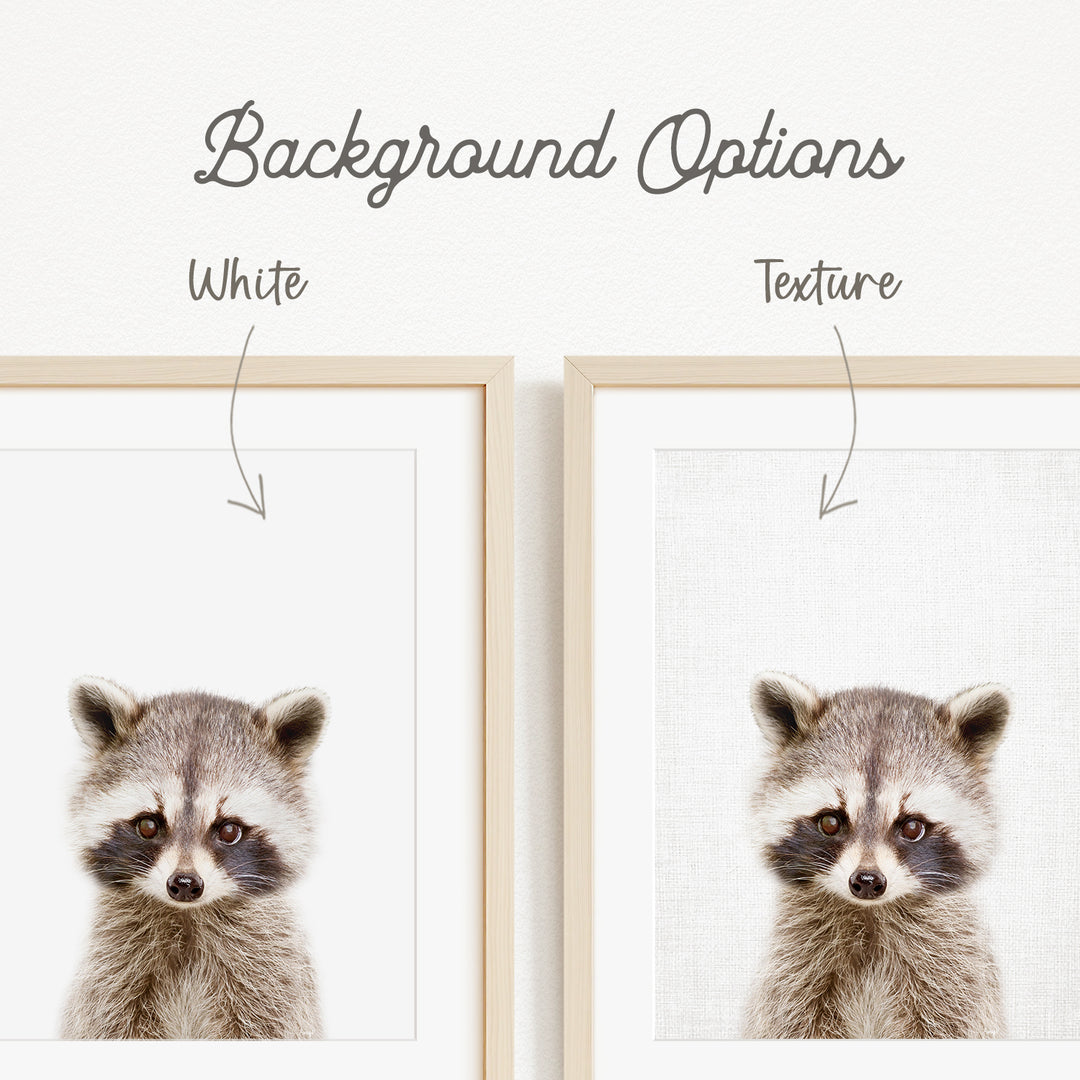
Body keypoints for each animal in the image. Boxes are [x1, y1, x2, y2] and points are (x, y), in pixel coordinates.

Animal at [62, 676, 328, 1039]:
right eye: (148, 825)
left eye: (228, 830)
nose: (185, 883)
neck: (187, 917)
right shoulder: (110, 975)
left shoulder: (272, 978)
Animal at [743, 673, 1009, 1039]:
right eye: (830, 822)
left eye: (911, 827)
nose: (867, 881)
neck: (869, 915)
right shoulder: (792, 971)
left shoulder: (956, 974)